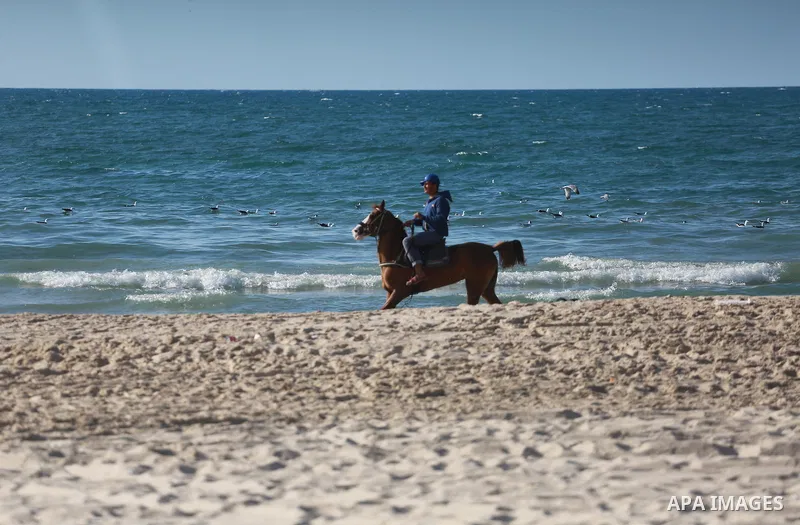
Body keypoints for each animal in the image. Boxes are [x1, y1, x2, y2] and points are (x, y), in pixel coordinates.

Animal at [352, 200, 526, 310]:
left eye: (373, 215)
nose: (356, 230)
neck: (397, 256)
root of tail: (490, 248)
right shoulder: (390, 293)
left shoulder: (399, 292)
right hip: (486, 288)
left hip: (474, 286)